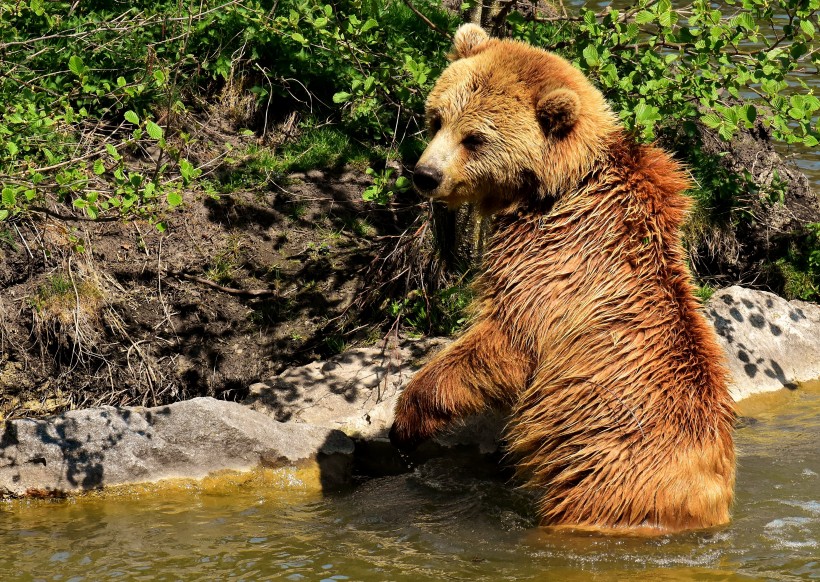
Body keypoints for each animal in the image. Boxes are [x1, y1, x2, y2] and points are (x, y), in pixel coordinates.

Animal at [390, 24, 736, 532]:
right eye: (437, 119)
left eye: (474, 138)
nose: (425, 175)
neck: (556, 184)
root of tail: (705, 497)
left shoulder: (551, 262)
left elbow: (505, 341)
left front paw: (408, 417)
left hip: (600, 480)